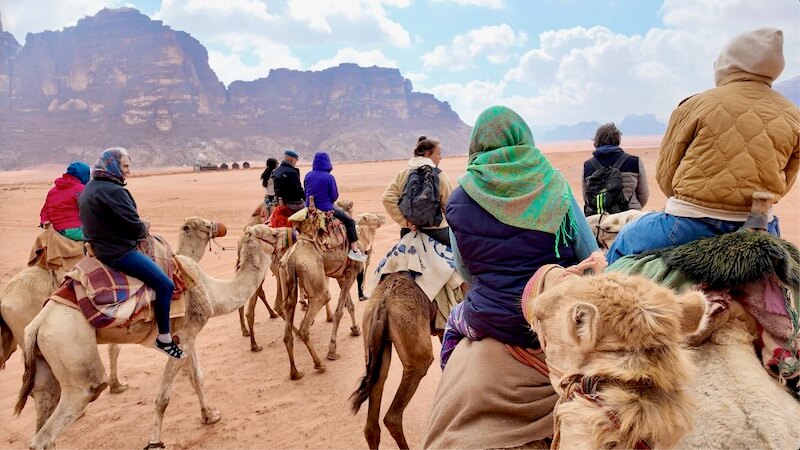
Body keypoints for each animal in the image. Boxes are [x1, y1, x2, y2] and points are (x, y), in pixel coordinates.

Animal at [0, 217, 223, 394]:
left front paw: (116, 385)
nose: (218, 226)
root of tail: (4, 300)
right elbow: (115, 348)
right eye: (204, 225)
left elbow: (113, 348)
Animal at [14, 224, 280, 450]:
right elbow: (163, 397)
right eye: (272, 233)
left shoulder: (187, 337)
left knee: (44, 405)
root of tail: (37, 324)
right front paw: (154, 441)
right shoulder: (183, 337)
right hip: (73, 353)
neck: (210, 292)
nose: (284, 234)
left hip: (46, 363)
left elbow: (197, 378)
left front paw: (210, 416)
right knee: (51, 430)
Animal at [277, 197, 364, 380]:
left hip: (286, 277)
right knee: (308, 323)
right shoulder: (351, 273)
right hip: (317, 286)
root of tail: (292, 260)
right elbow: (339, 312)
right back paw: (319, 364)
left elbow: (350, 305)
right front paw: (332, 351)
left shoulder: (342, 276)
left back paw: (295, 372)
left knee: (287, 326)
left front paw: (355, 329)